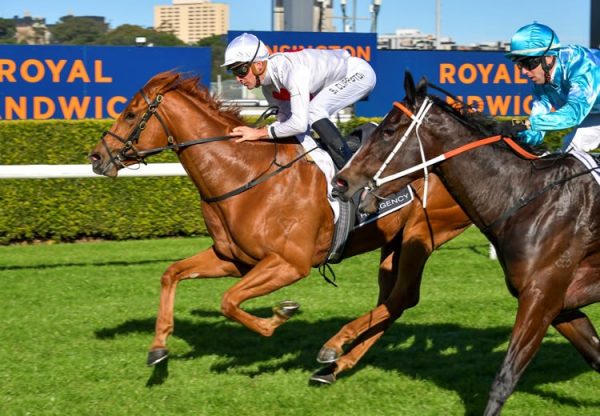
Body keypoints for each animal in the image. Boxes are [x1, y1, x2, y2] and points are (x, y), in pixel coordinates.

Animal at [89, 70, 472, 376]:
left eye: (131, 114)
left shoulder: (290, 264)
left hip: (423, 232)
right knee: (391, 301)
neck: (245, 174)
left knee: (402, 296)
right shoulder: (233, 259)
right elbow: (172, 274)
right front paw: (158, 347)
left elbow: (228, 301)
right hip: (393, 242)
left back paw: (334, 353)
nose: (96, 157)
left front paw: (280, 315)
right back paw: (336, 367)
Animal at [332, 70, 600, 412]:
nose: (341, 181)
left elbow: (504, 378)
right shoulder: (561, 304)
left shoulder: (541, 297)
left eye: (389, 131)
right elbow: (596, 355)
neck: (527, 196)